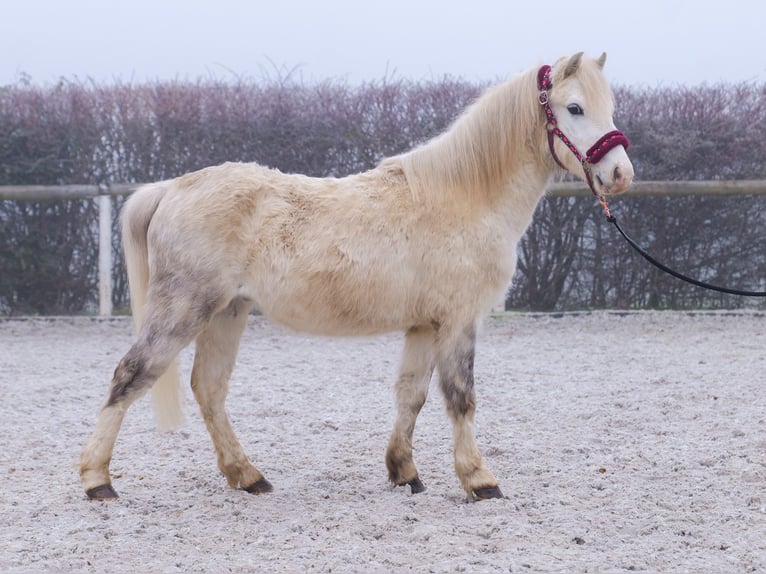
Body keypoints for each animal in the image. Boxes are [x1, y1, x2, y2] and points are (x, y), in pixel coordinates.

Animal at [82, 54, 636, 504]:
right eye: (574, 108)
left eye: (608, 106)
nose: (620, 174)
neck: (464, 197)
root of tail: (172, 188)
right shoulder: (459, 320)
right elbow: (460, 398)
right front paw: (480, 480)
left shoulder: (424, 324)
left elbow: (411, 394)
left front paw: (404, 472)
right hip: (183, 308)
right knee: (130, 375)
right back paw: (97, 480)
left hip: (227, 313)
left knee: (209, 389)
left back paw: (248, 476)